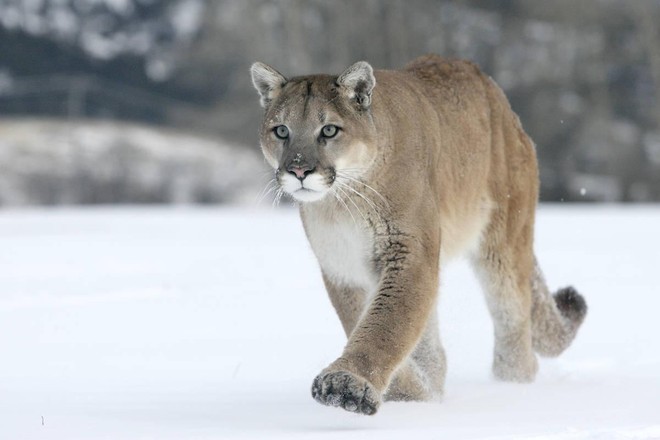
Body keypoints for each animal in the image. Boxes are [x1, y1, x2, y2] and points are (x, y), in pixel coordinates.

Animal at [249, 55, 588, 416]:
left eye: (328, 130)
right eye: (281, 131)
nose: (299, 170)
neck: (342, 203)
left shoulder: (409, 253)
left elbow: (387, 322)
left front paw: (348, 384)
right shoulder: (342, 266)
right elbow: (368, 320)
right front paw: (410, 395)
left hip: (503, 243)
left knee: (513, 323)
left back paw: (513, 389)